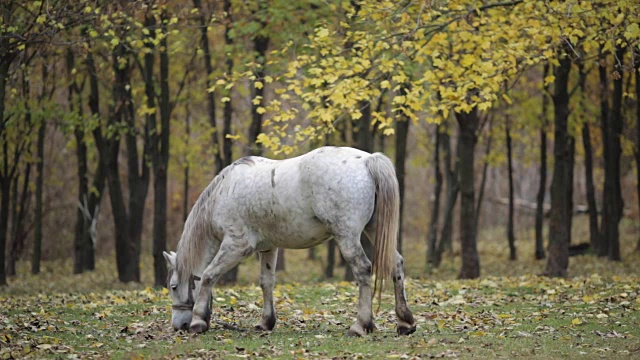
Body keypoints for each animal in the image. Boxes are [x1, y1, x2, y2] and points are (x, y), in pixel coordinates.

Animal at [162, 145, 418, 336]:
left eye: (173, 286)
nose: (179, 326)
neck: (223, 193)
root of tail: (367, 160)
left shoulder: (236, 246)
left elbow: (208, 276)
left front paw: (198, 321)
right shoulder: (268, 248)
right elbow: (266, 282)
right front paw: (266, 322)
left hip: (347, 236)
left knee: (363, 269)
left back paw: (360, 325)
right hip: (374, 231)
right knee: (396, 264)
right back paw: (405, 322)